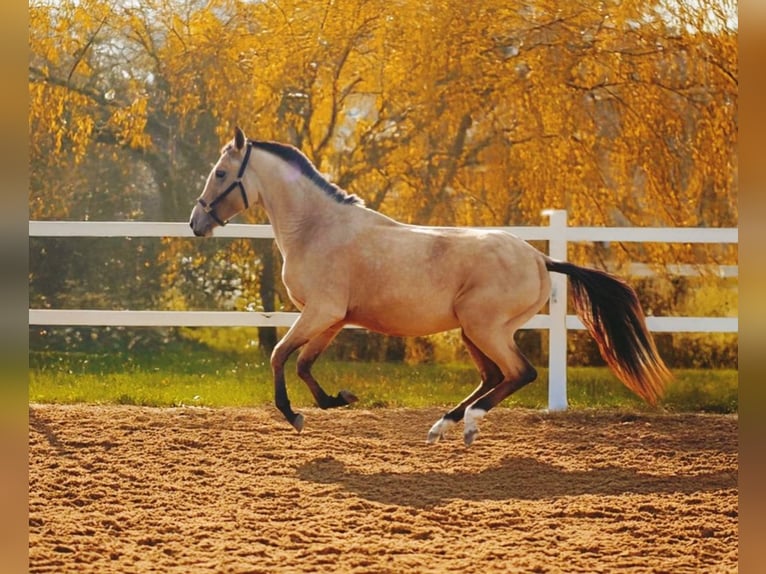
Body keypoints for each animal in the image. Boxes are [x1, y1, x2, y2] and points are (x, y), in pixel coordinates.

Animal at [190, 127, 672, 450]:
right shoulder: (333, 318)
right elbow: (305, 363)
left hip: (484, 328)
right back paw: (442, 426)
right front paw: (338, 400)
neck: (317, 228)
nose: (196, 223)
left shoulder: (321, 312)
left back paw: (469, 424)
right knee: (493, 376)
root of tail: (540, 259)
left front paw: (295, 416)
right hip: (473, 331)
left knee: (519, 374)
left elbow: (279, 355)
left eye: (221, 173)